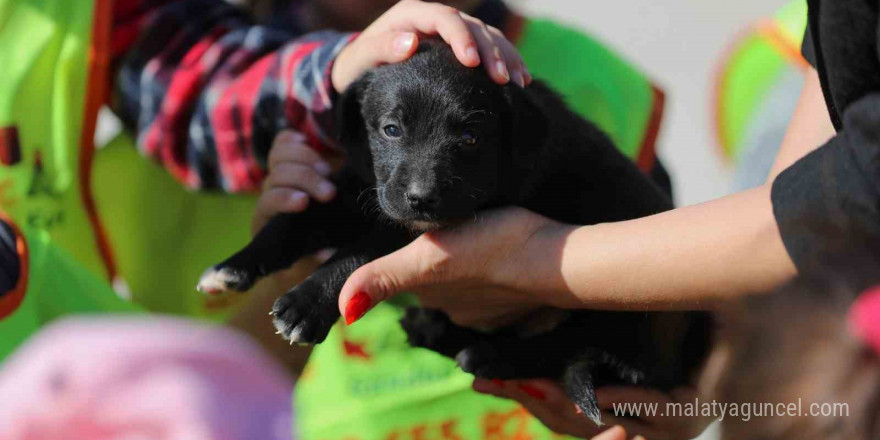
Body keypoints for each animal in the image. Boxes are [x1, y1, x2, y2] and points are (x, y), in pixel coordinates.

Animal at [199, 42, 708, 426]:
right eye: (391, 129)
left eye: (469, 139)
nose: (421, 199)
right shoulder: (361, 187)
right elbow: (292, 223)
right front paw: (231, 268)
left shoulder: (428, 222)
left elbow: (358, 253)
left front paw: (306, 305)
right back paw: (439, 330)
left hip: (631, 308)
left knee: (576, 348)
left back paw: (489, 355)